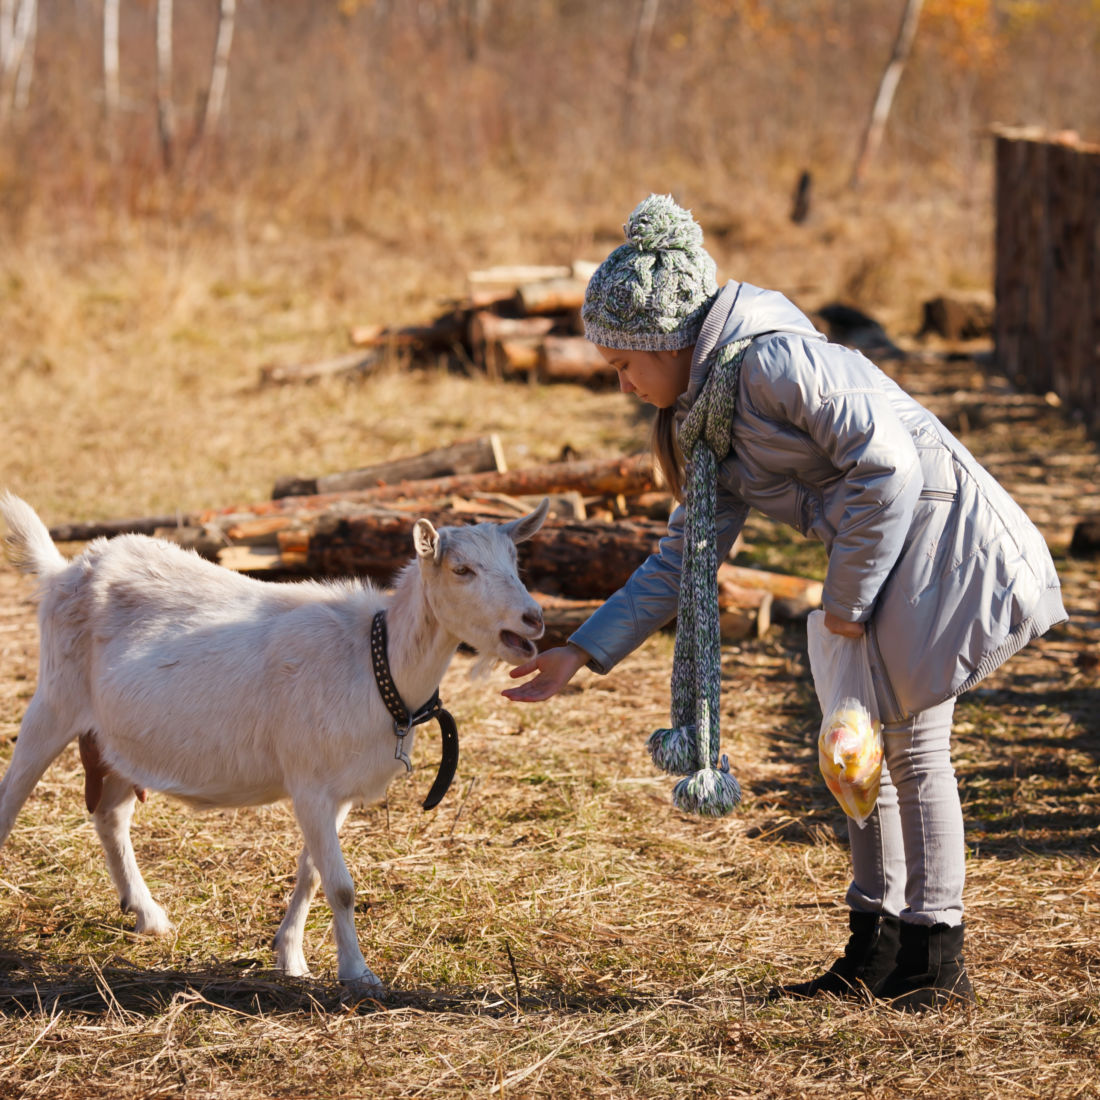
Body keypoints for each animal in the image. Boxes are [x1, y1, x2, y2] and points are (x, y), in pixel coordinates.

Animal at [0, 490, 550, 990]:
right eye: (461, 570)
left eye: (516, 561)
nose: (534, 618)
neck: (376, 661)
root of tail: (64, 570)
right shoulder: (309, 782)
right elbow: (341, 886)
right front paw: (358, 974)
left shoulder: (334, 792)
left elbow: (312, 874)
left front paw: (291, 958)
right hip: (55, 698)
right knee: (13, 793)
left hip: (116, 738)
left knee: (111, 815)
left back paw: (149, 916)